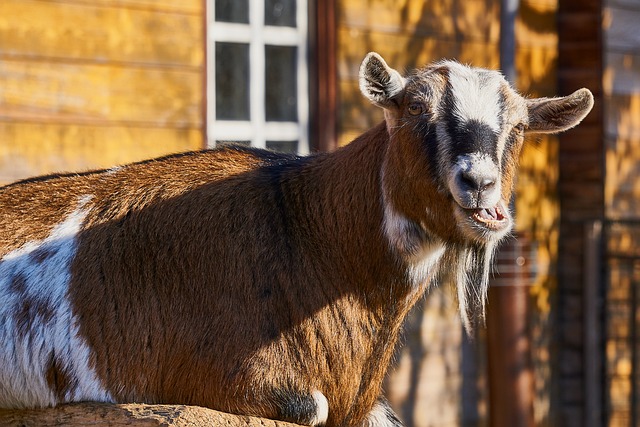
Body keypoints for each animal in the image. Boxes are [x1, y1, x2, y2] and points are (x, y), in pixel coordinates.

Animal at [0, 53, 596, 427]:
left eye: (518, 128)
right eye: (415, 110)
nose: (479, 184)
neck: (308, 231)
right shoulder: (198, 376)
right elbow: (313, 406)